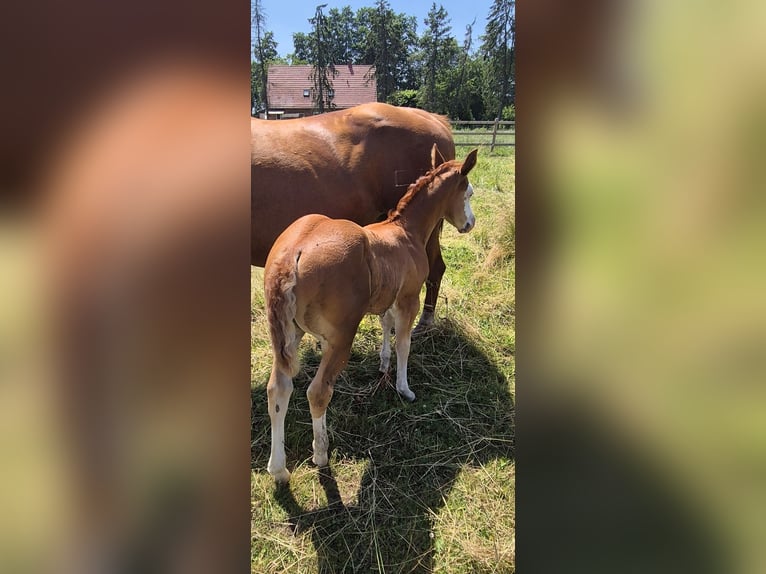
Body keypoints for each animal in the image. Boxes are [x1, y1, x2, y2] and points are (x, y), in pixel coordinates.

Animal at [263, 147, 478, 482]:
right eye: (468, 193)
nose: (470, 223)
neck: (406, 230)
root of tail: (292, 254)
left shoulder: (387, 298)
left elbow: (385, 325)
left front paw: (383, 365)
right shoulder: (409, 298)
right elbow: (404, 342)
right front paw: (404, 388)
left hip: (289, 333)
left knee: (278, 390)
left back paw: (279, 469)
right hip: (342, 336)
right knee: (318, 392)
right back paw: (321, 454)